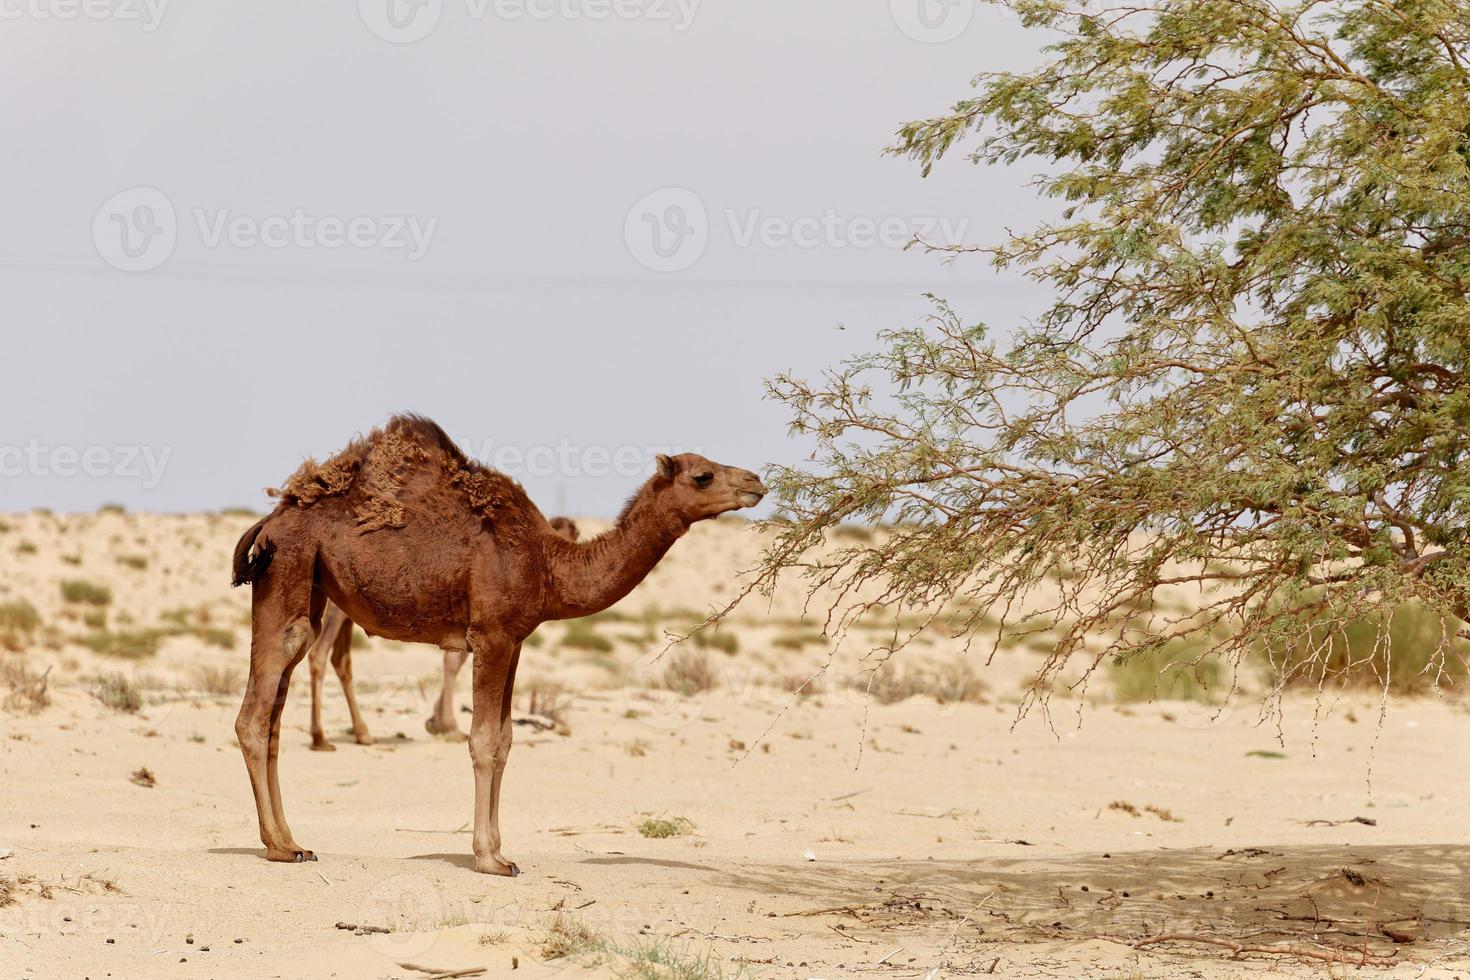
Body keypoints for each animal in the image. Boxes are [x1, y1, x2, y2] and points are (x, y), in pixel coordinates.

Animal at [302, 517, 579, 746]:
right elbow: (454, 661)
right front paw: (447, 725)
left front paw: (436, 722)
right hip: (337, 609)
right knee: (319, 654)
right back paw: (321, 737)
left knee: (341, 660)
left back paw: (362, 733)